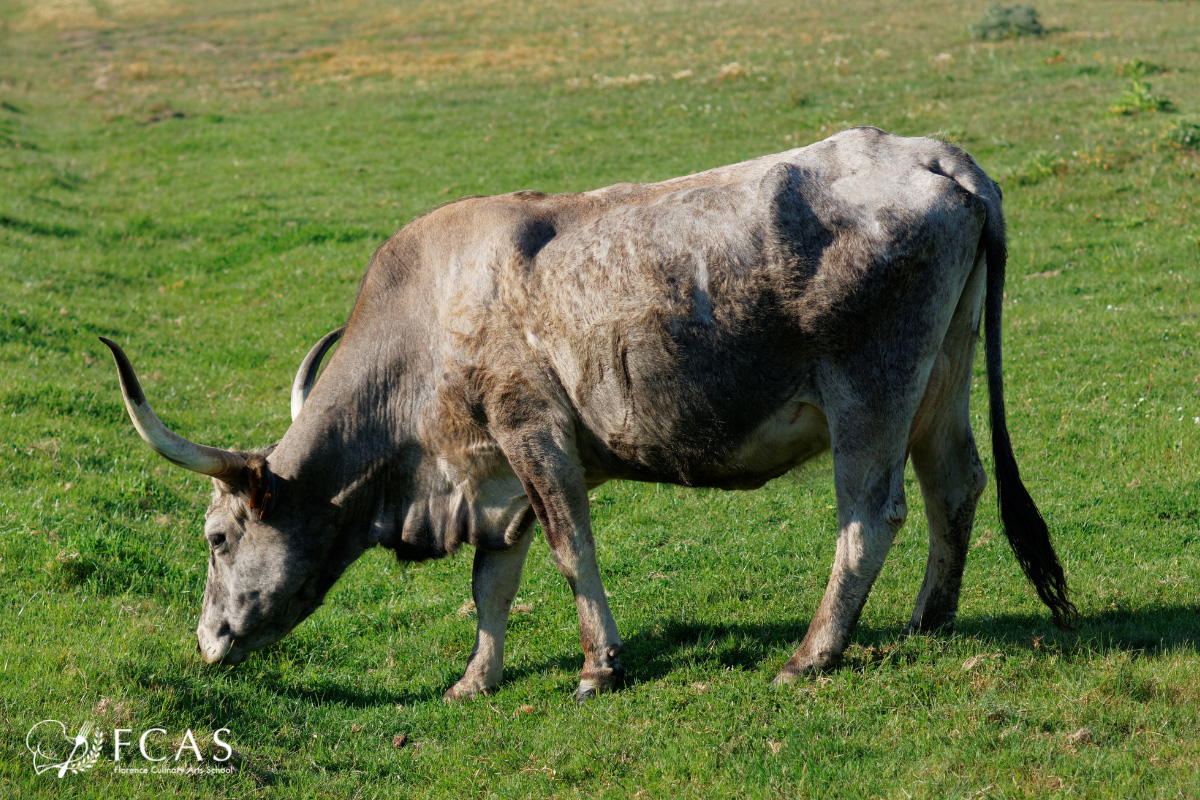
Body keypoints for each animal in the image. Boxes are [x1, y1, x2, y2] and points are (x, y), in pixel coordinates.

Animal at [103, 125, 1080, 700]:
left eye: (217, 538)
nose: (207, 640)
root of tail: (928, 152)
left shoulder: (532, 433)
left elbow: (571, 549)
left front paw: (598, 665)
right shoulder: (492, 473)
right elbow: (493, 581)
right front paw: (476, 680)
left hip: (869, 396)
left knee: (870, 516)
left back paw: (812, 654)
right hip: (939, 384)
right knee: (956, 487)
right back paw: (929, 618)